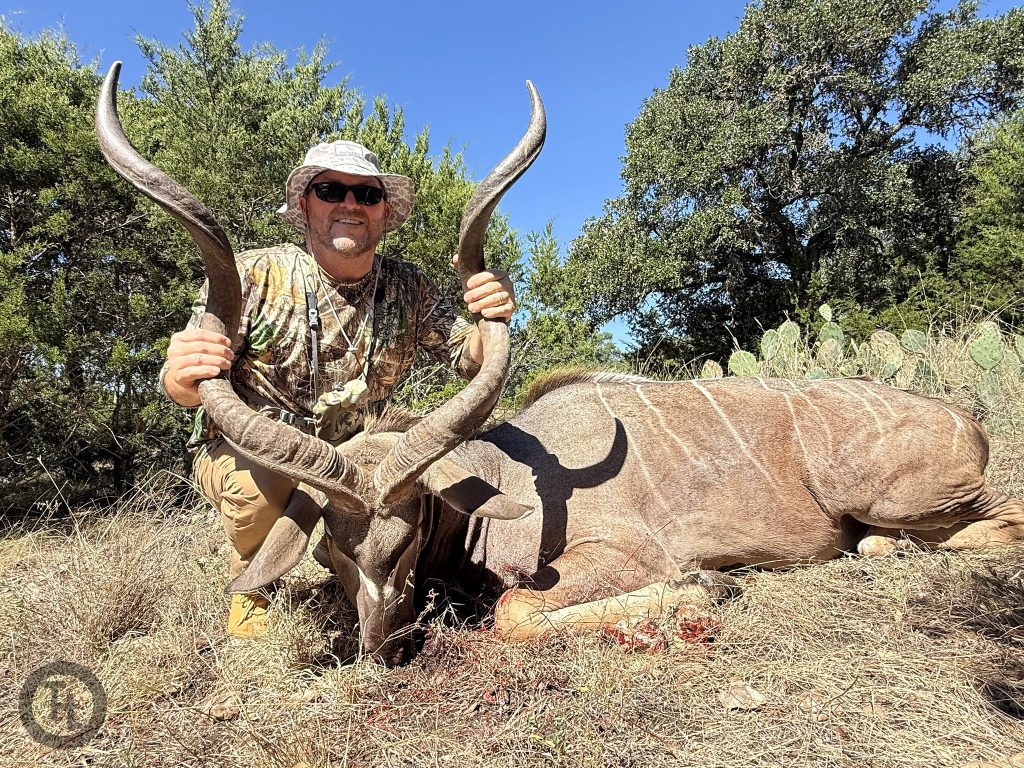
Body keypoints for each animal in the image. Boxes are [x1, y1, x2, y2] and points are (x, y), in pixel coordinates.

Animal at [97, 63, 1024, 667]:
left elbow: (515, 609)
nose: (383, 647)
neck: (496, 483)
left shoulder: (622, 557)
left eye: (406, 535)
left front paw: (709, 592)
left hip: (907, 496)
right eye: (332, 552)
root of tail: (967, 421)